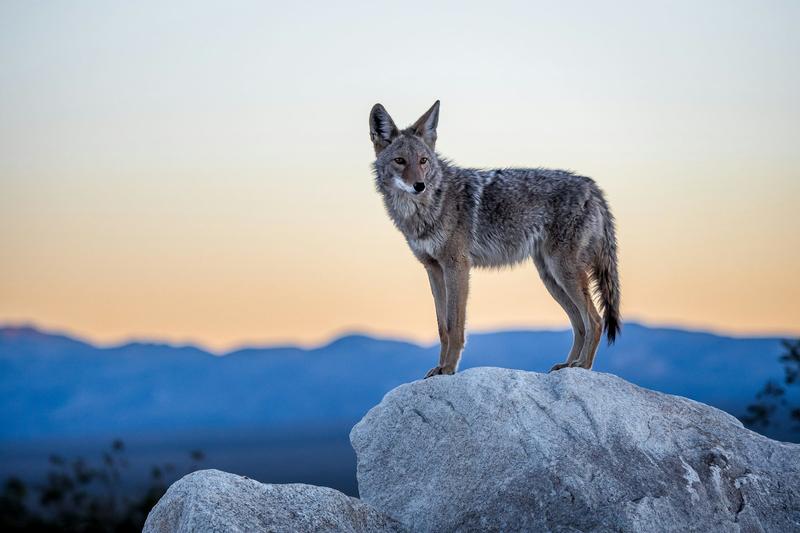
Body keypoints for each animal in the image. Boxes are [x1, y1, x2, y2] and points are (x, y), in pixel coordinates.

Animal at [369, 100, 620, 378]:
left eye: (423, 161)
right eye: (400, 161)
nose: (419, 185)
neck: (427, 208)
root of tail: (591, 186)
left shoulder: (457, 266)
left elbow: (454, 325)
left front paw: (448, 369)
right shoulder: (433, 269)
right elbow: (442, 327)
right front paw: (440, 368)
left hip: (563, 273)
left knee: (595, 321)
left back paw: (583, 366)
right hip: (551, 278)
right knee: (580, 325)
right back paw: (567, 366)